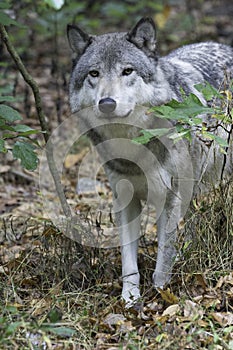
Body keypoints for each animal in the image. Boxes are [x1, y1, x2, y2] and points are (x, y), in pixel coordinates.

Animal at [66, 17, 232, 306]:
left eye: (127, 71)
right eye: (94, 74)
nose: (107, 103)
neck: (134, 150)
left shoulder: (170, 197)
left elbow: (164, 252)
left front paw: (160, 293)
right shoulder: (125, 200)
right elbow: (128, 260)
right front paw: (130, 298)